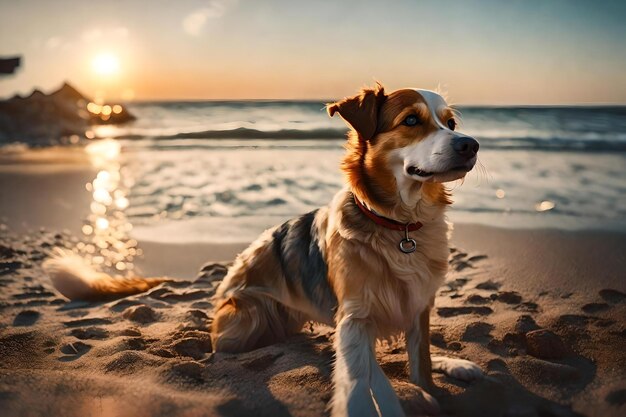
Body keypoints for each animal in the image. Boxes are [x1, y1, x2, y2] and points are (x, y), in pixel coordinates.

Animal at [44, 83, 482, 414]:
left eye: (450, 123)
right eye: (411, 120)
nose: (471, 145)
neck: (399, 225)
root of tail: (223, 284)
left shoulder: (418, 304)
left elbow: (420, 361)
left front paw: (433, 378)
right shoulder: (355, 317)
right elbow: (360, 378)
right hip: (246, 318)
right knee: (224, 346)